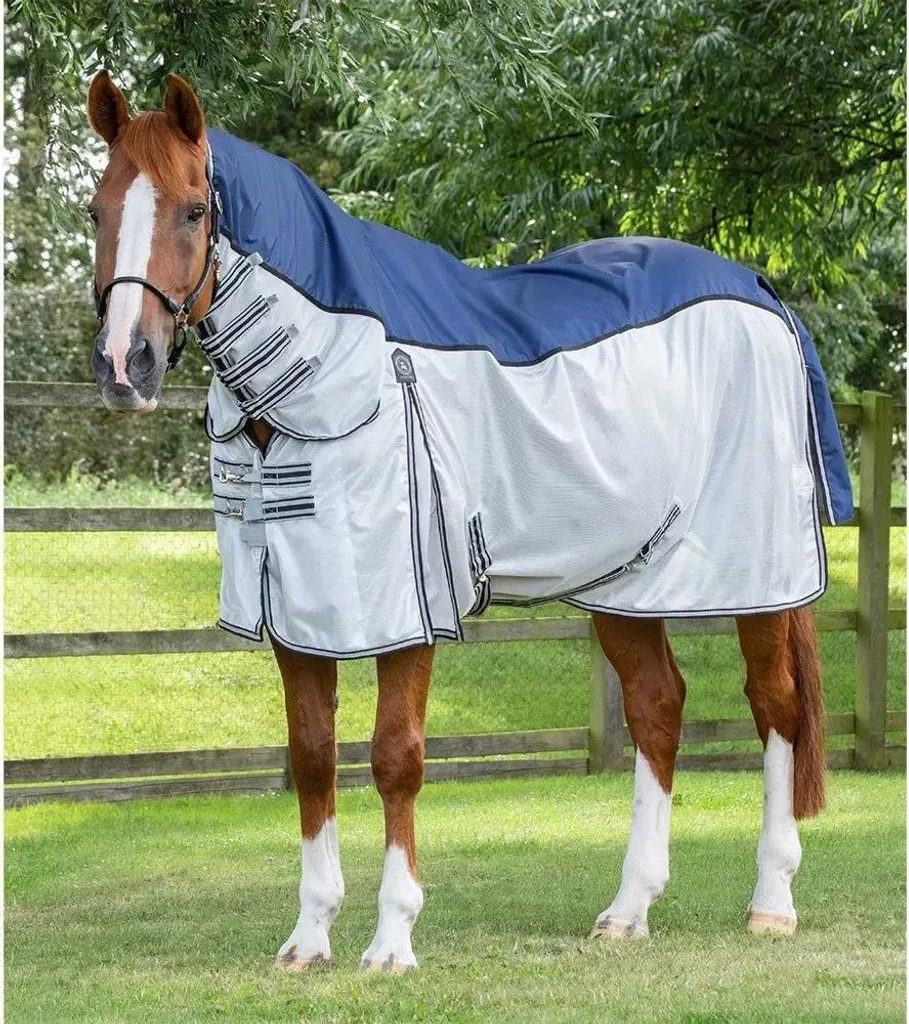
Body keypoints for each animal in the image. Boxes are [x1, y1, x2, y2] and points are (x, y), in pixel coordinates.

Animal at [86, 70, 853, 971]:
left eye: (192, 210)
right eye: (97, 210)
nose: (124, 365)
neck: (328, 367)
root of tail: (760, 290)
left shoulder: (404, 612)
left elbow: (395, 758)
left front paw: (391, 941)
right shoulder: (297, 613)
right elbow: (311, 758)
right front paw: (308, 939)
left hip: (755, 576)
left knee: (774, 707)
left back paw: (771, 902)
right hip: (630, 578)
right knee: (657, 709)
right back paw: (627, 909)